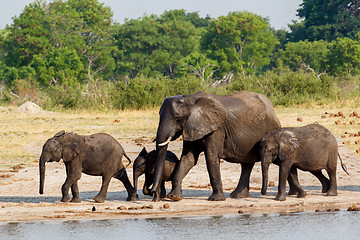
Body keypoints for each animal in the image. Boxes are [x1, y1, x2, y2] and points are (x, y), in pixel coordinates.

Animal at [150, 91, 282, 202]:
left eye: (177, 118)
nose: (152, 193)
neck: (190, 99)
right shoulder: (191, 126)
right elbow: (188, 159)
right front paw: (174, 197)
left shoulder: (217, 128)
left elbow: (211, 156)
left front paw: (216, 199)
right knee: (246, 164)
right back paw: (237, 196)